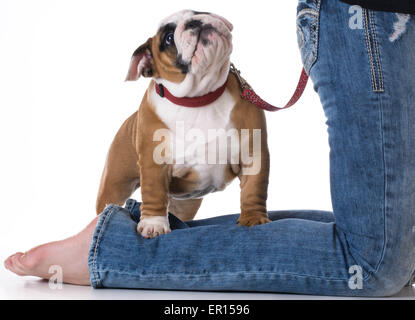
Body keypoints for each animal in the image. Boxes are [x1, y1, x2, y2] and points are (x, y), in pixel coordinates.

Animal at [96, 9, 272, 238]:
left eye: (198, 12)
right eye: (169, 38)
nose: (194, 22)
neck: (198, 98)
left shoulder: (253, 154)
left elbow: (254, 189)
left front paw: (253, 218)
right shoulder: (154, 163)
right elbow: (154, 193)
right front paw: (154, 224)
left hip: (185, 203)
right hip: (115, 185)